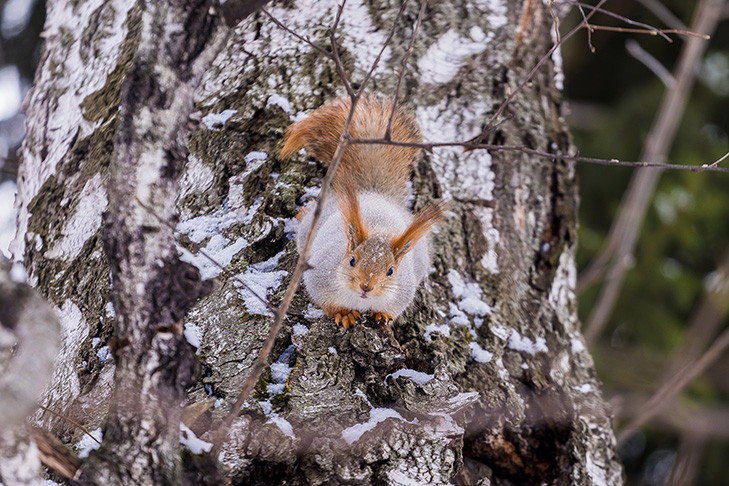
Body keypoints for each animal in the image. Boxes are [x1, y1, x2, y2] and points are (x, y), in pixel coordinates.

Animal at [280, 96, 444, 328]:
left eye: (390, 271)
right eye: (352, 261)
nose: (366, 286)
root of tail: (374, 194)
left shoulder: (402, 292)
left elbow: (392, 309)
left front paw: (382, 315)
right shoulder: (319, 275)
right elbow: (325, 301)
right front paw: (343, 313)